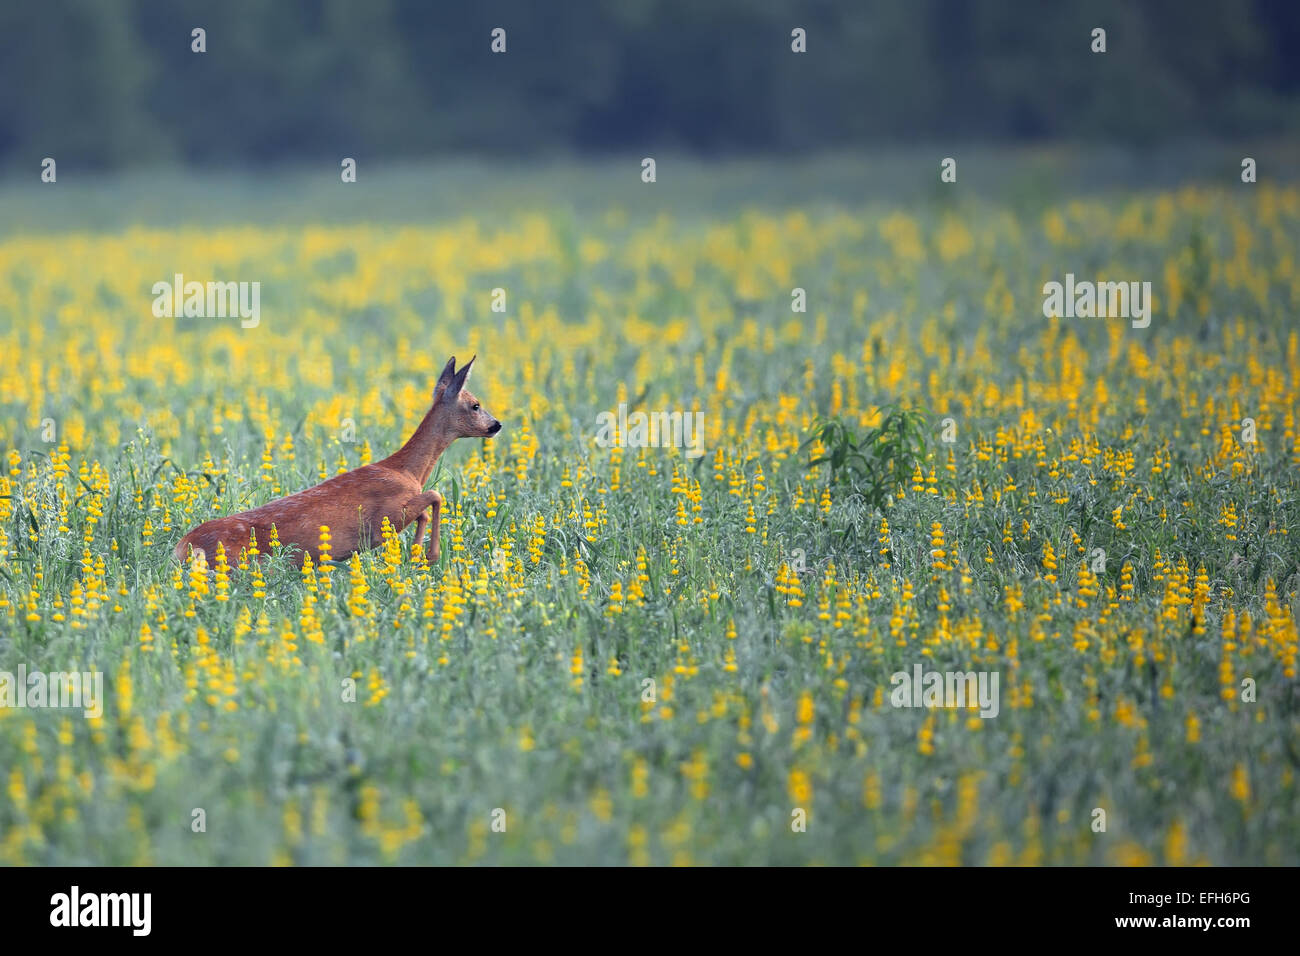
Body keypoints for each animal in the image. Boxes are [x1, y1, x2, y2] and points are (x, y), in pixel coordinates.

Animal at [172, 356, 496, 567]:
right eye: (475, 405)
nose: (497, 424)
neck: (408, 471)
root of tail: (181, 547)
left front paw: (418, 554)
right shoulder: (388, 515)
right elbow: (435, 495)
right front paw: (428, 554)